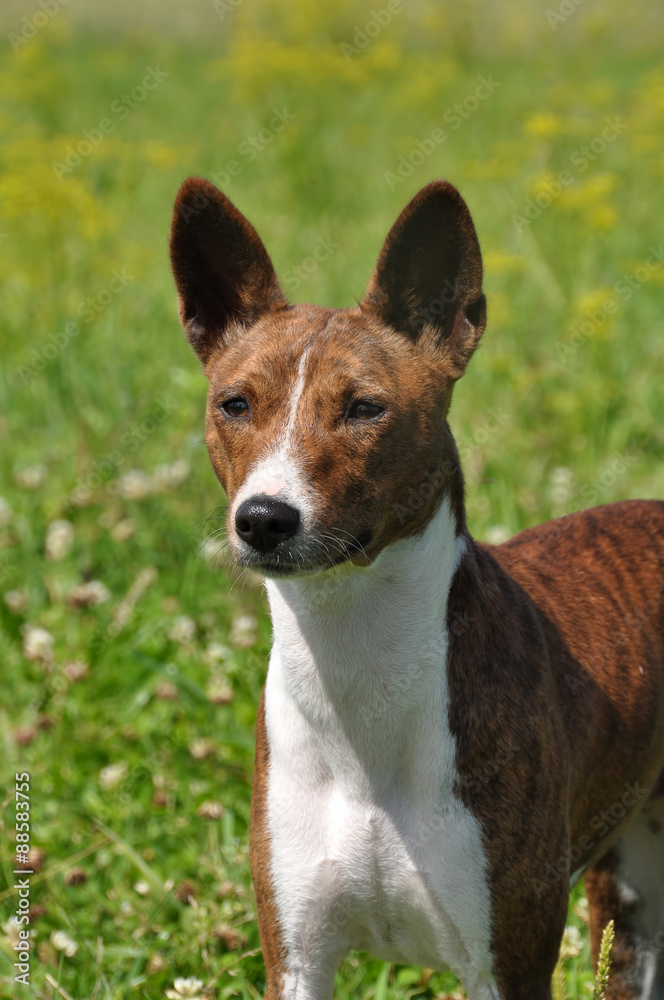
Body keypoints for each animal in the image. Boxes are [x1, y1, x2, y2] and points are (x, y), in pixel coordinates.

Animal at [170, 177, 664, 1000]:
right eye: (234, 404)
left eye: (365, 407)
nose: (263, 518)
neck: (358, 678)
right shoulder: (297, 958)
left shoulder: (509, 964)